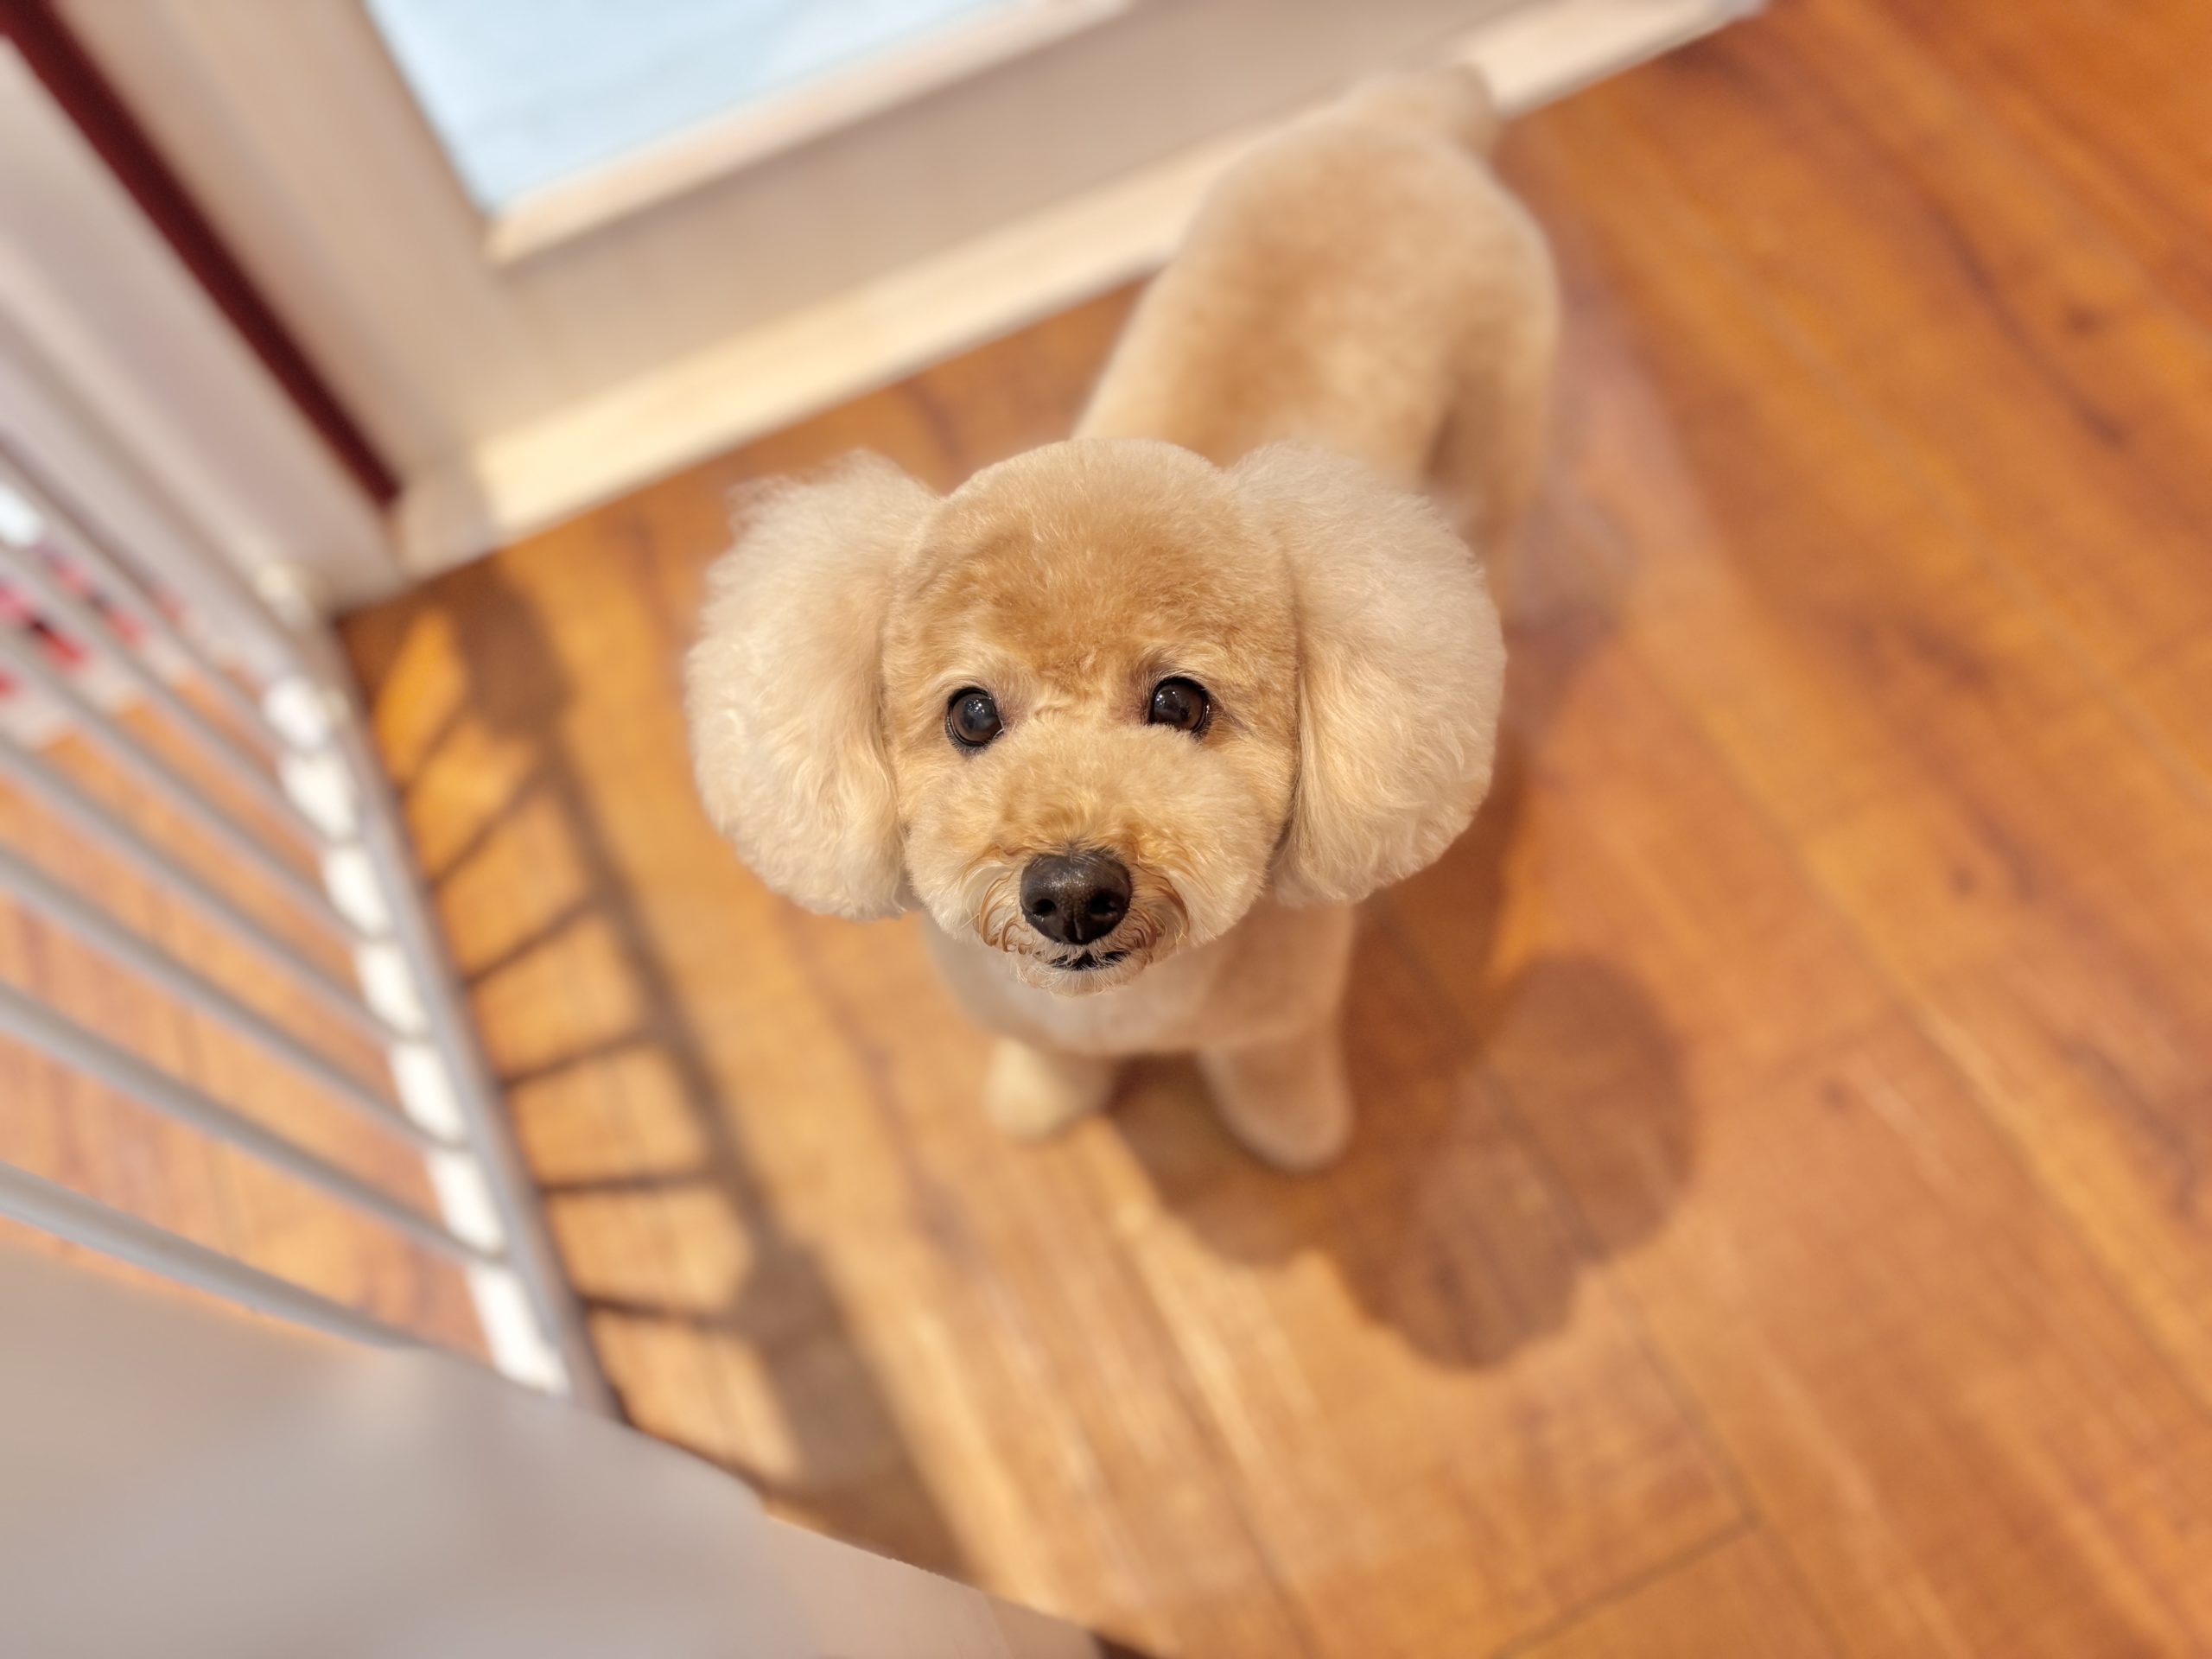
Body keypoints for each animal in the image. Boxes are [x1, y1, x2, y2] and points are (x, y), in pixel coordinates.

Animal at [687, 66, 1556, 1169]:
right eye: (971, 714)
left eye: (1180, 703)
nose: (1070, 893)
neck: (1119, 1003)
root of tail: (1404, 120)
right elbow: (1048, 1058)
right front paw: (1041, 1101)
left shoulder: (1284, 1016)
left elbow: (1273, 1070)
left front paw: (1295, 1136)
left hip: (1493, 442)